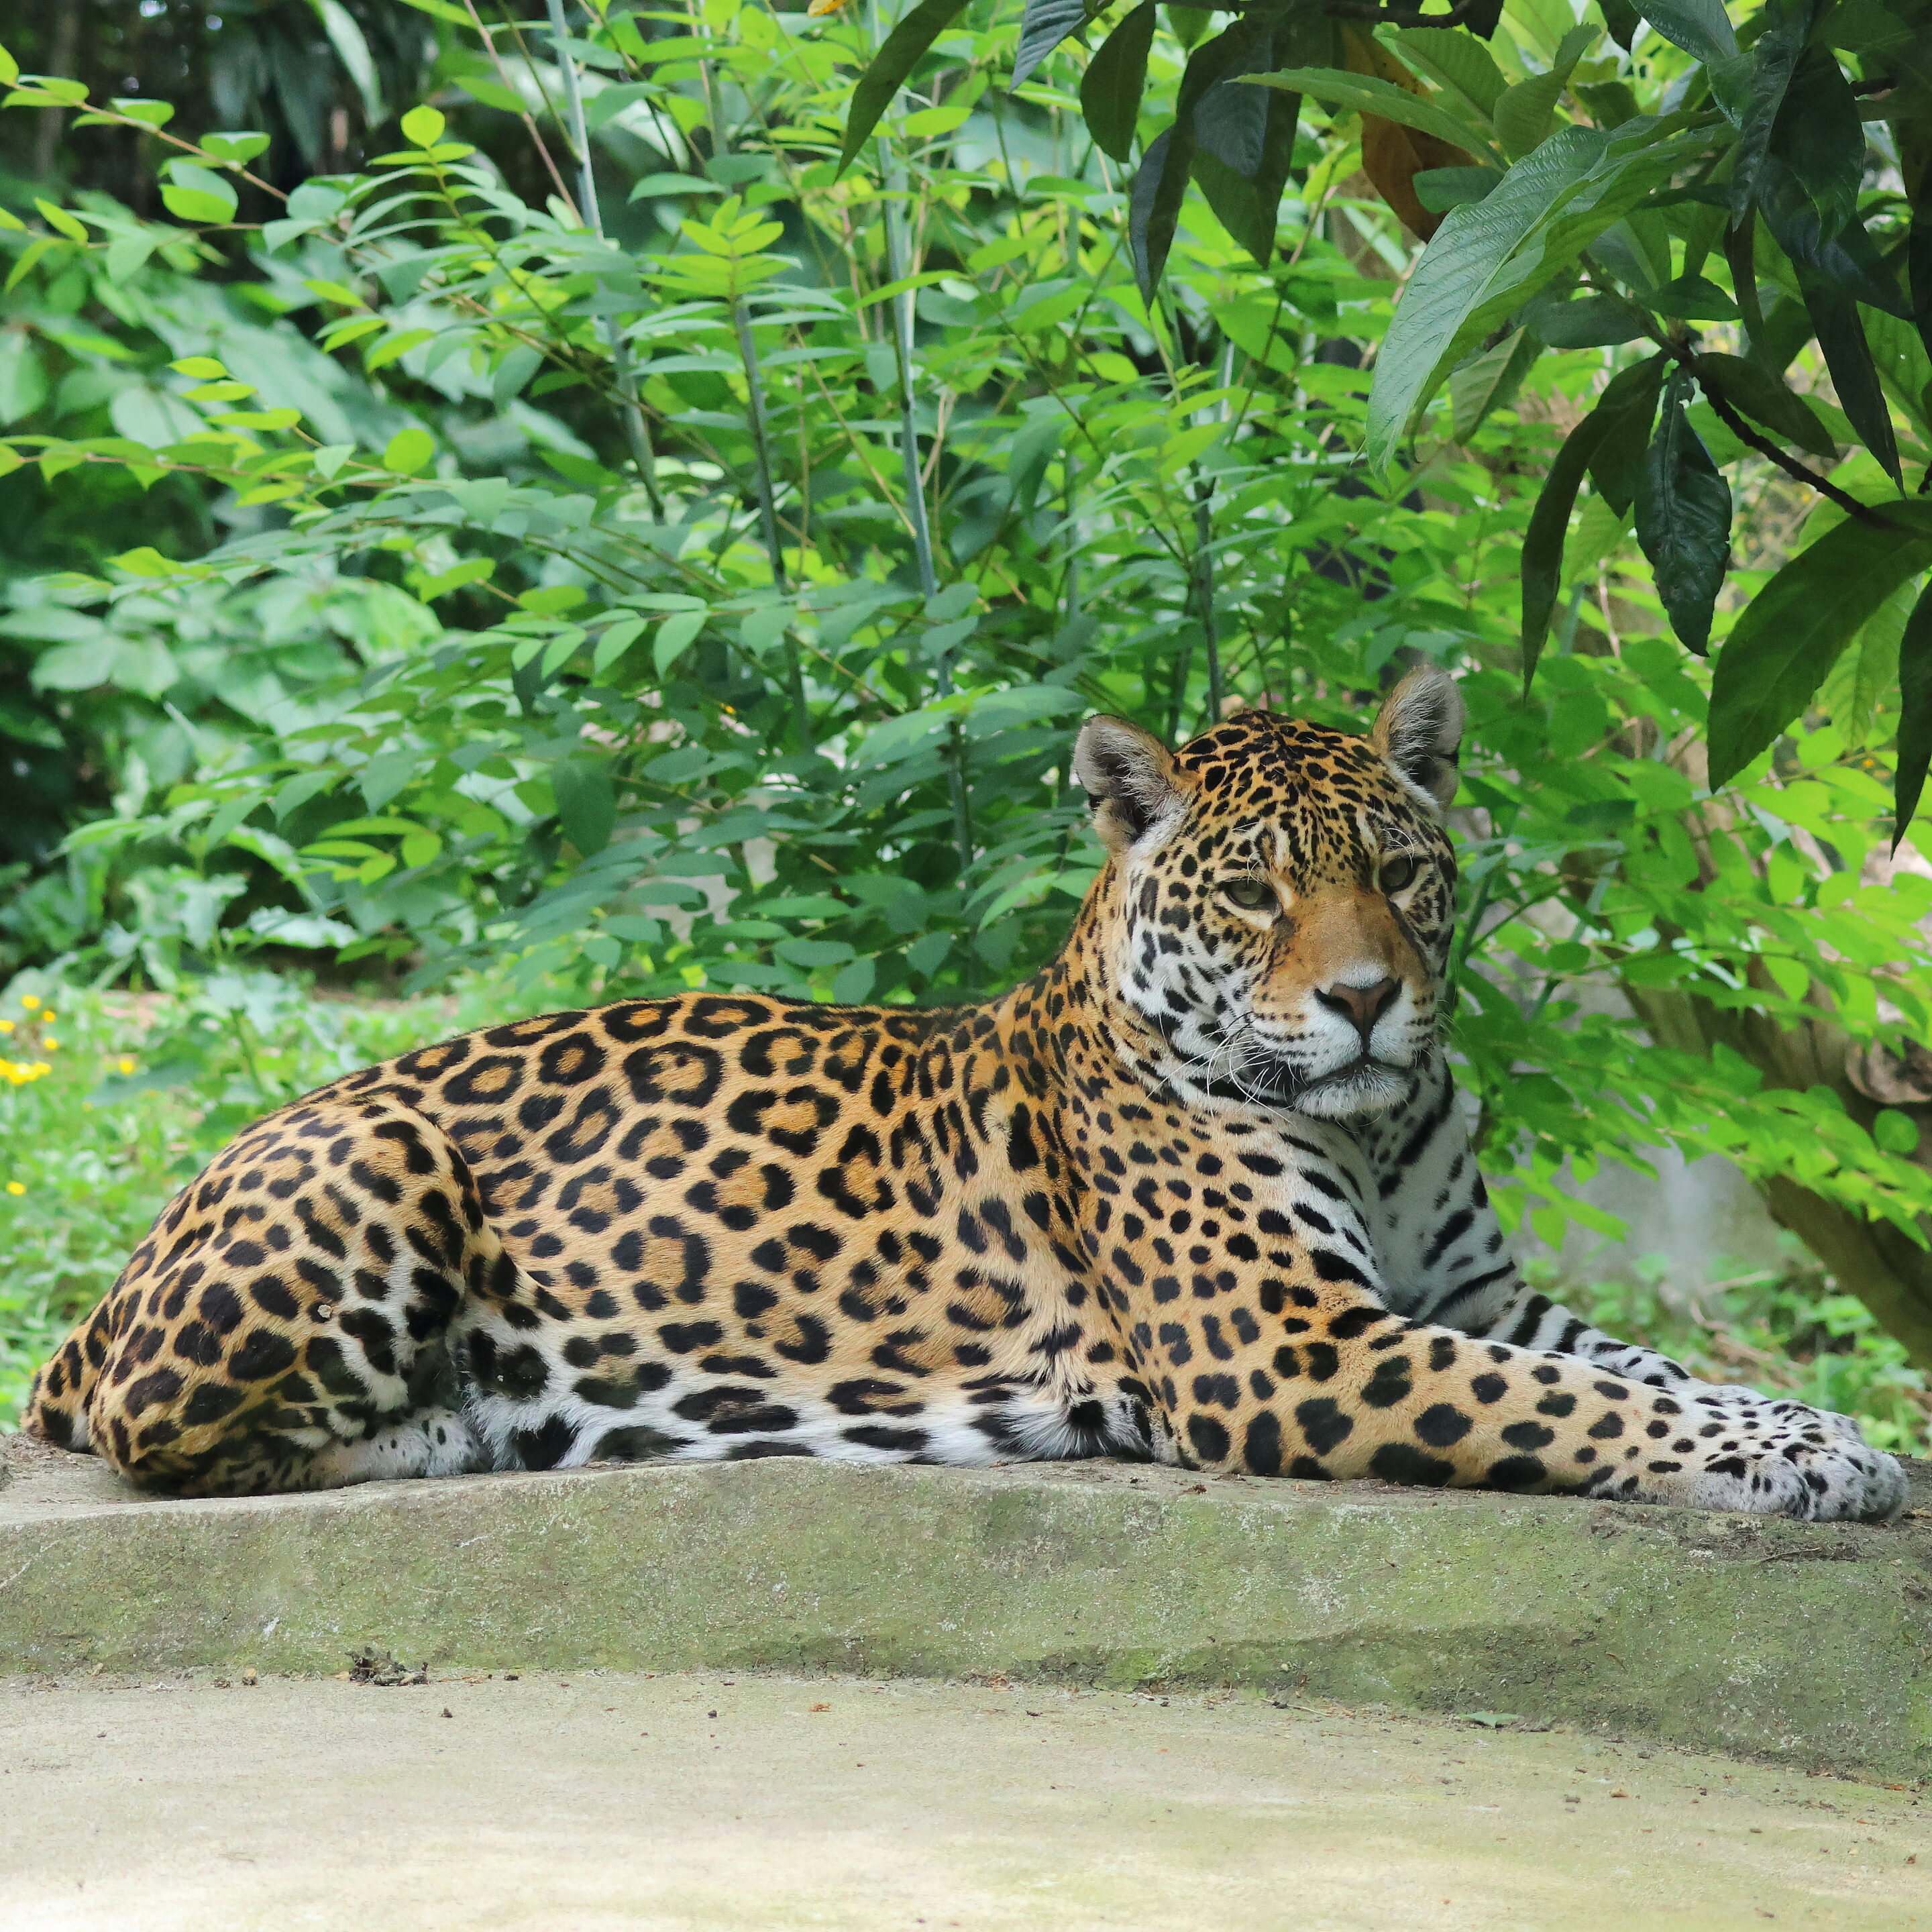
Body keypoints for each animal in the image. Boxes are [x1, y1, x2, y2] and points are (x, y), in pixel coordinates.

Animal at [22, 667, 1906, 1520]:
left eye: (1397, 872)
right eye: (1255, 896)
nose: (1369, 1001)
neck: (1372, 1130)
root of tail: (128, 1260)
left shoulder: (1475, 1296)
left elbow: (1643, 1364)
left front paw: (1828, 1430)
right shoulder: (1293, 1349)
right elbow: (1581, 1406)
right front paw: (1814, 1459)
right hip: (376, 1153)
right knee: (157, 1438)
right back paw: (471, 1422)